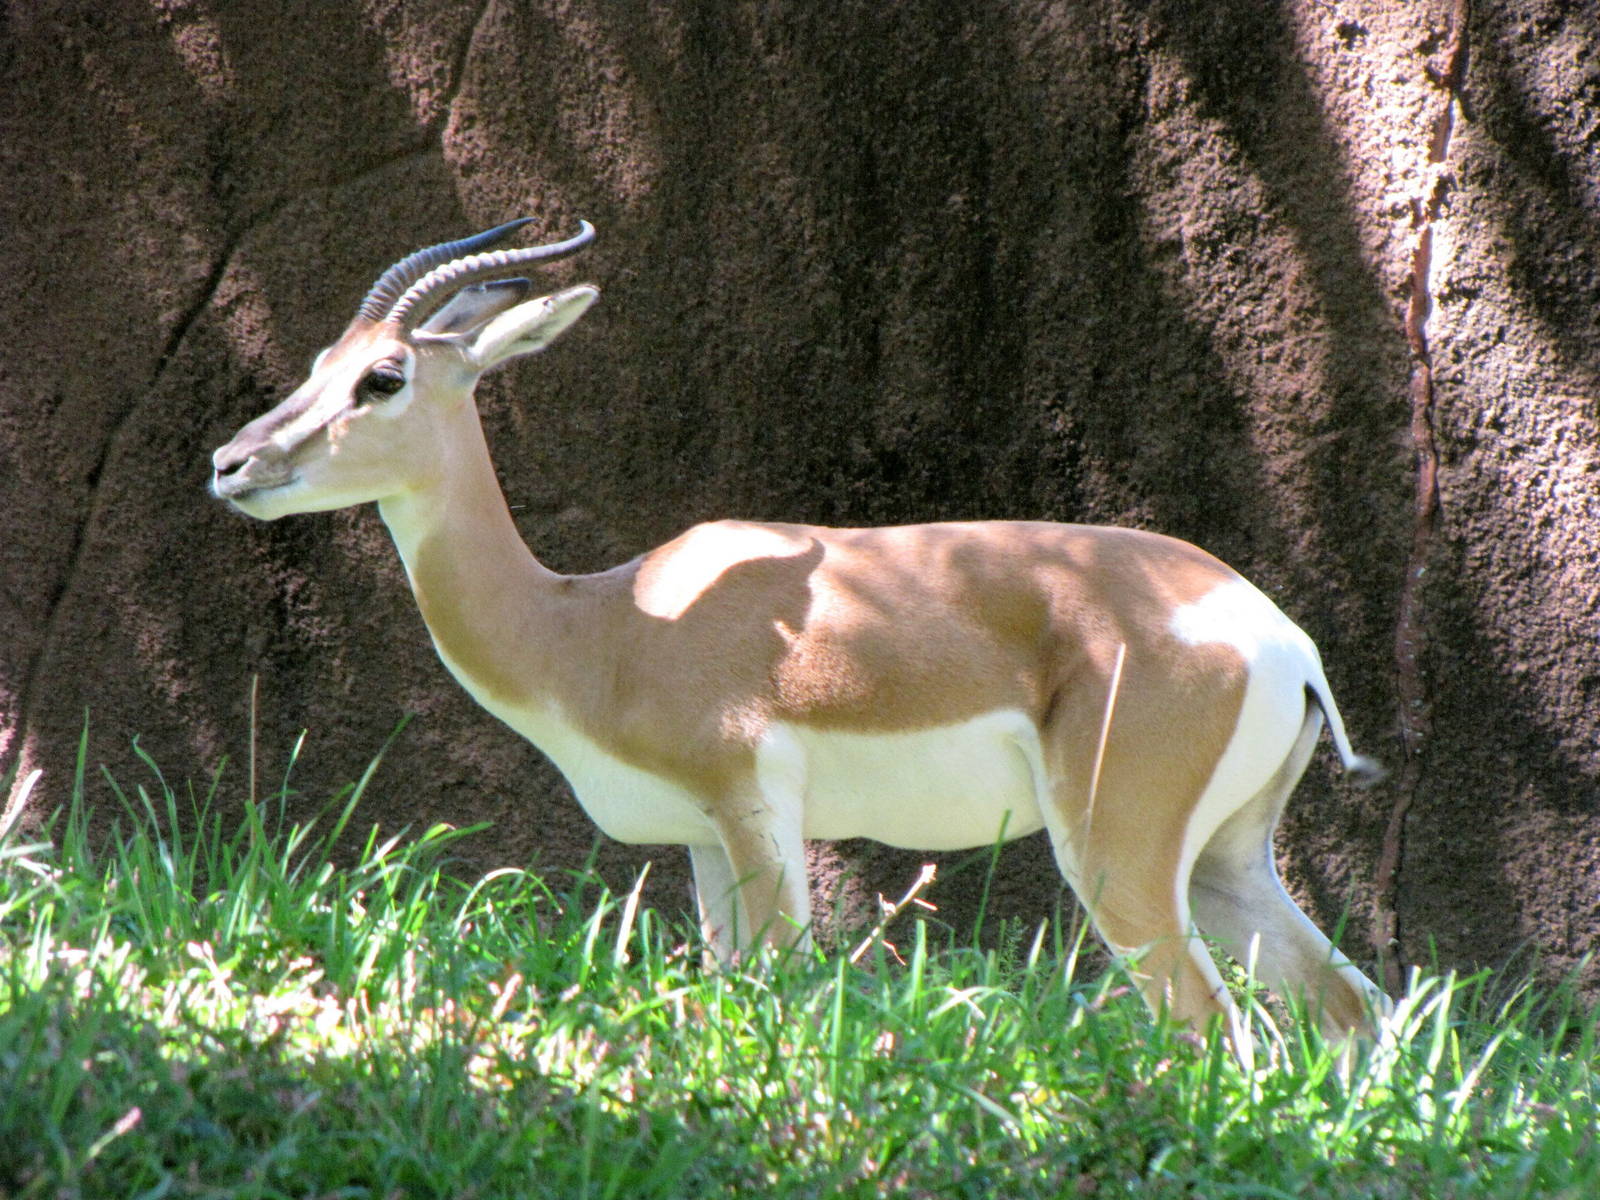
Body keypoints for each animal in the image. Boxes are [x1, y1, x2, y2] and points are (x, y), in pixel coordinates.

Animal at [211, 218, 1390, 1057]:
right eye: (319, 361)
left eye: (384, 377)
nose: (230, 463)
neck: (599, 625)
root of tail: (1280, 639)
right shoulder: (699, 844)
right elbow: (724, 986)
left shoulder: (754, 814)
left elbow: (774, 991)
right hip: (1228, 861)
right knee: (1350, 1005)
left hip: (1116, 853)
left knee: (1209, 1022)